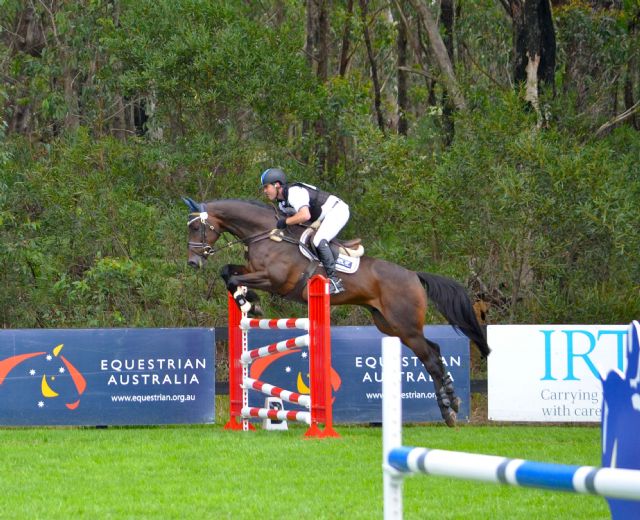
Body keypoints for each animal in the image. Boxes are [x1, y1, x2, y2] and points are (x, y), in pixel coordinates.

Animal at [184, 197, 490, 424]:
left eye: (197, 228)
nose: (192, 263)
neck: (267, 236)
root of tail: (414, 275)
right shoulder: (252, 269)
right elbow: (228, 272)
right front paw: (246, 299)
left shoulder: (274, 280)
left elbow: (234, 279)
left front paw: (250, 302)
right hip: (391, 325)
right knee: (434, 351)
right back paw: (450, 403)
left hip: (405, 326)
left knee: (430, 358)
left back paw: (449, 409)